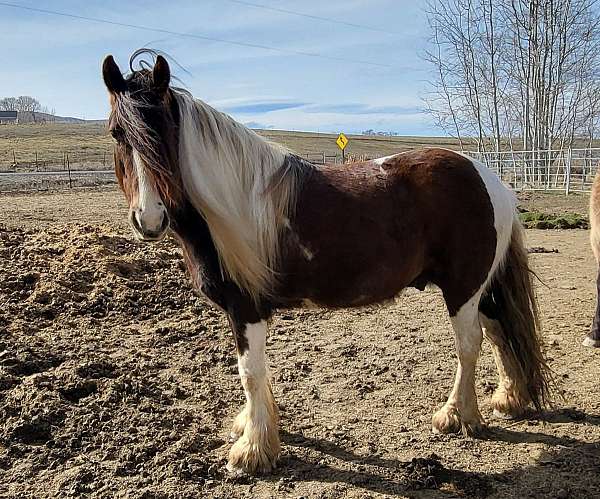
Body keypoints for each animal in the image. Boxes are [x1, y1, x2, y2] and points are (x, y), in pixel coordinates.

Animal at [101, 51, 552, 476]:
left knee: (469, 343)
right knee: (497, 331)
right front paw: (251, 427)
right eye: (117, 133)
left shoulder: (246, 308)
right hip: (478, 287)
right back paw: (508, 399)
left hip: (462, 288)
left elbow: (250, 371)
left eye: (165, 131)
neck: (230, 207)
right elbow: (254, 373)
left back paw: (456, 416)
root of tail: (489, 179)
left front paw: (252, 451)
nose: (150, 220)